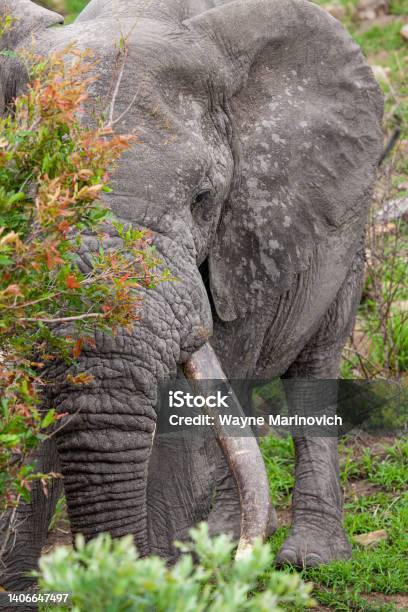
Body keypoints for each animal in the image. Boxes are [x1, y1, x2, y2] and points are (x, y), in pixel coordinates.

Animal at [0, 0, 382, 592]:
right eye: (29, 184)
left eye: (204, 198)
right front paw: (19, 590)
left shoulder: (247, 236)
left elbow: (188, 422)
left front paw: (159, 584)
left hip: (347, 234)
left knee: (314, 368)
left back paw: (303, 557)